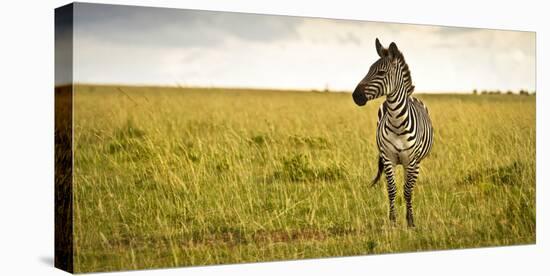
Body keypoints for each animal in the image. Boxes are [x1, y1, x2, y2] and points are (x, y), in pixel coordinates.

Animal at [354, 38, 436, 227]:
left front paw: (410, 221)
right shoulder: (388, 158)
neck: (397, 122)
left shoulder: (411, 161)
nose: (355, 96)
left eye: (381, 72)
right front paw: (392, 221)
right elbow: (391, 189)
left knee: (409, 186)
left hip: (415, 163)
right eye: (368, 69)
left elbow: (407, 191)